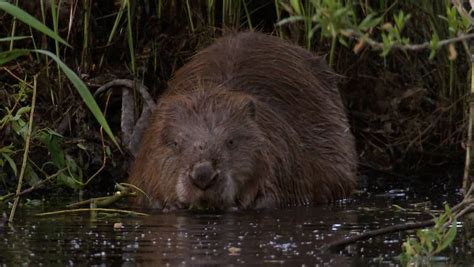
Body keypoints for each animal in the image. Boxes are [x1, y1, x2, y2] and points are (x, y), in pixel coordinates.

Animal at [128, 31, 358, 211]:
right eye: (175, 143)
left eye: (230, 141)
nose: (203, 175)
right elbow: (145, 193)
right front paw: (171, 205)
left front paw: (240, 205)